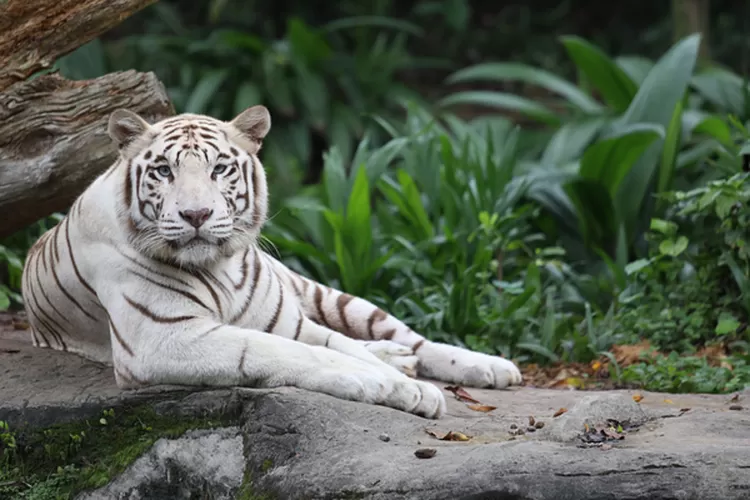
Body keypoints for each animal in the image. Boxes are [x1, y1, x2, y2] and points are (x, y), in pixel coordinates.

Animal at [19, 105, 524, 418]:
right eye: (164, 171)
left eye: (219, 169)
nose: (196, 215)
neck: (219, 267)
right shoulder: (162, 337)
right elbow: (293, 352)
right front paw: (387, 386)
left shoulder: (289, 322)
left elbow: (339, 346)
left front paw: (407, 384)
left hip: (328, 296)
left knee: (406, 337)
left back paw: (488, 366)